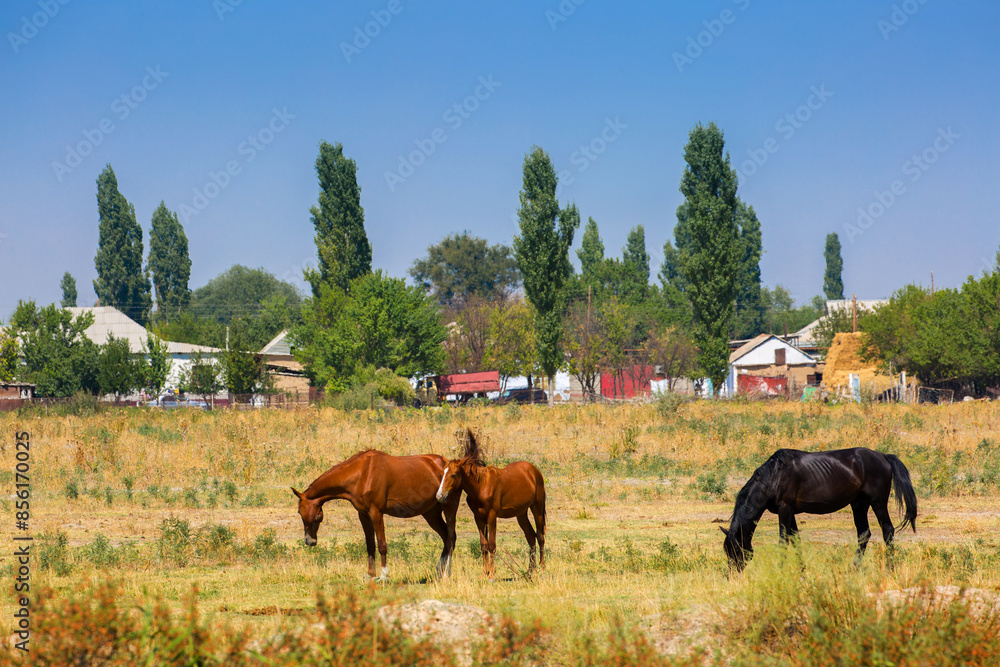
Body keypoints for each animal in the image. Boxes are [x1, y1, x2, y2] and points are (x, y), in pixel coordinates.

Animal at [291, 449, 460, 581]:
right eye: (299, 512)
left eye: (314, 515)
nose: (309, 541)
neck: (363, 473)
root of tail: (446, 463)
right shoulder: (363, 515)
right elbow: (370, 545)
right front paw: (370, 574)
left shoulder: (376, 513)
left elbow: (382, 544)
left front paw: (384, 575)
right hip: (431, 513)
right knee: (446, 537)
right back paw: (439, 571)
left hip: (449, 507)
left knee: (451, 537)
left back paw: (446, 573)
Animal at [436, 429, 546, 578]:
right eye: (442, 473)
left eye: (453, 475)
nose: (439, 495)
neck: (481, 486)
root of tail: (534, 470)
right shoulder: (479, 518)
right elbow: (484, 545)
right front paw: (484, 573)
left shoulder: (492, 516)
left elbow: (492, 544)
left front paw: (492, 573)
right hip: (521, 513)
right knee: (531, 537)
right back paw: (530, 570)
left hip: (537, 507)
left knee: (540, 536)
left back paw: (542, 568)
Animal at [722, 447, 917, 571]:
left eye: (735, 551)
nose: (733, 574)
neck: (774, 475)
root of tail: (883, 456)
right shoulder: (790, 512)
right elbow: (795, 539)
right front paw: (801, 568)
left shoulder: (785, 509)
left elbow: (784, 541)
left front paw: (782, 569)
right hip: (859, 504)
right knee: (864, 534)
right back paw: (855, 567)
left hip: (878, 503)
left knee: (888, 530)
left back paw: (890, 567)